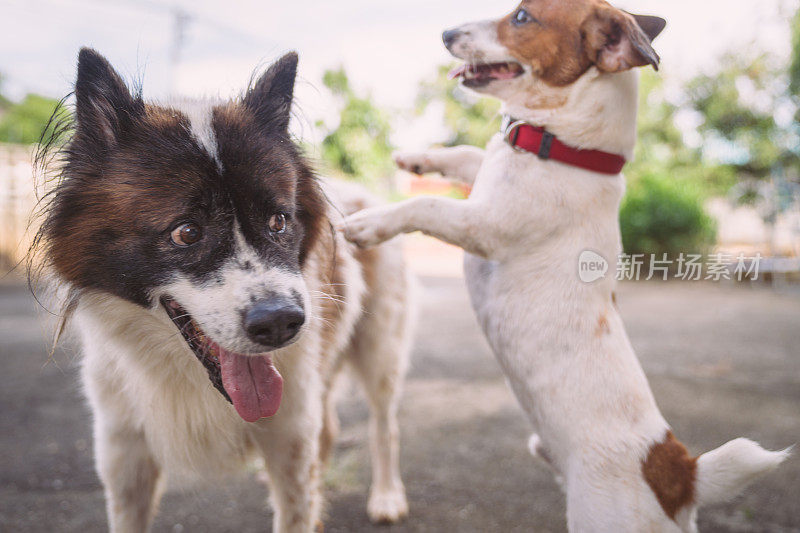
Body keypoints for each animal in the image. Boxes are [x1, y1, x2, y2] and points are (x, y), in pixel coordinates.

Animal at [34, 47, 416, 528]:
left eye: (279, 221)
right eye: (186, 233)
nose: (281, 324)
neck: (185, 371)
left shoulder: (290, 434)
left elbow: (296, 505)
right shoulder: (123, 452)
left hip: (380, 347)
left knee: (385, 422)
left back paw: (387, 495)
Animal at [344, 2, 788, 528]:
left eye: (521, 17)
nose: (446, 32)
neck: (569, 149)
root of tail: (678, 471)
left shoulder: (483, 225)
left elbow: (425, 205)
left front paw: (369, 222)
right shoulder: (484, 178)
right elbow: (466, 154)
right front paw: (416, 157)